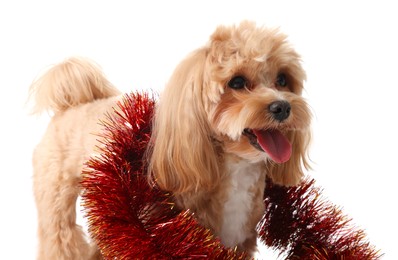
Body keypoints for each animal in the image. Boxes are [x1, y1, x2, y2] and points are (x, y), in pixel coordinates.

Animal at [30, 21, 310, 258]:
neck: (234, 167)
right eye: (237, 81)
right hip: (57, 198)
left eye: (283, 79)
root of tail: (75, 103)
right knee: (60, 238)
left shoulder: (240, 240)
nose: (282, 107)